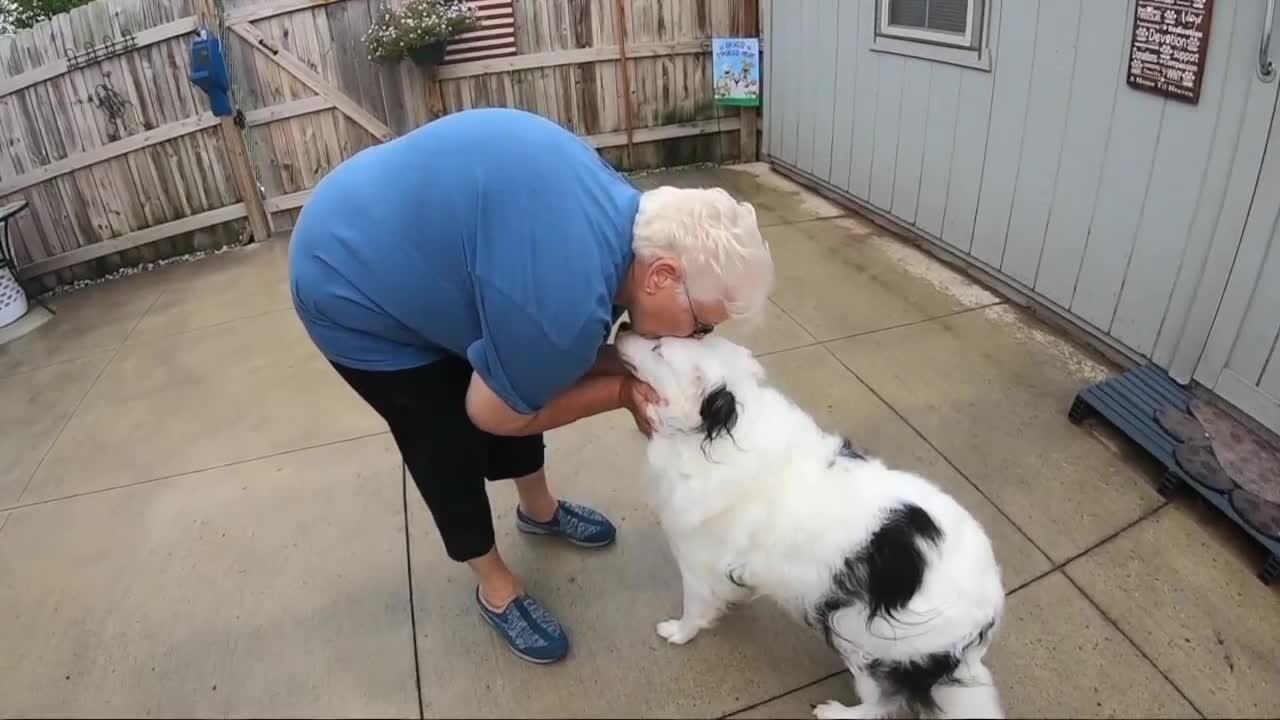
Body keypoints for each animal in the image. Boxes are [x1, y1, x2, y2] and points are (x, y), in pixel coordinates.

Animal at [619, 333, 1008, 717]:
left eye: (658, 348)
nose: (621, 330)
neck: (721, 432)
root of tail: (990, 604)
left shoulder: (697, 564)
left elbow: (694, 609)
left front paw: (678, 632)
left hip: (859, 635)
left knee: (884, 701)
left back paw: (837, 712)